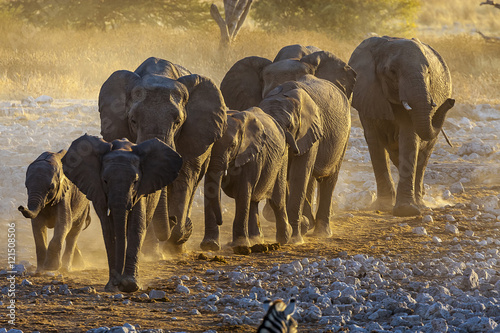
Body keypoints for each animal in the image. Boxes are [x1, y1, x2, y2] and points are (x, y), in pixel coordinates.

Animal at [98, 57, 227, 250]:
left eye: (177, 122)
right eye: (133, 120)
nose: (172, 220)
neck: (159, 74)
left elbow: (184, 179)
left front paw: (175, 238)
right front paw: (151, 250)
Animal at [202, 107, 296, 249]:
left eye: (232, 145)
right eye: (210, 144)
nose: (221, 221)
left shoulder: (252, 156)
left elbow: (242, 193)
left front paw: (240, 244)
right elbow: (210, 189)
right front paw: (209, 245)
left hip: (282, 159)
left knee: (276, 201)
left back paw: (284, 238)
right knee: (253, 200)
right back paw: (256, 240)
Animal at [221, 45, 354, 240]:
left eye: (290, 125)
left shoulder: (312, 127)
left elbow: (299, 172)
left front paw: (297, 234)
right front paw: (297, 226)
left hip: (345, 131)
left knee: (327, 178)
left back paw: (321, 231)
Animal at [350, 36, 456, 217]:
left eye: (429, 73)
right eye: (392, 71)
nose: (450, 100)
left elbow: (409, 138)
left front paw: (406, 210)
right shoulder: (367, 94)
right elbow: (374, 141)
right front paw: (385, 206)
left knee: (422, 157)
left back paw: (420, 202)